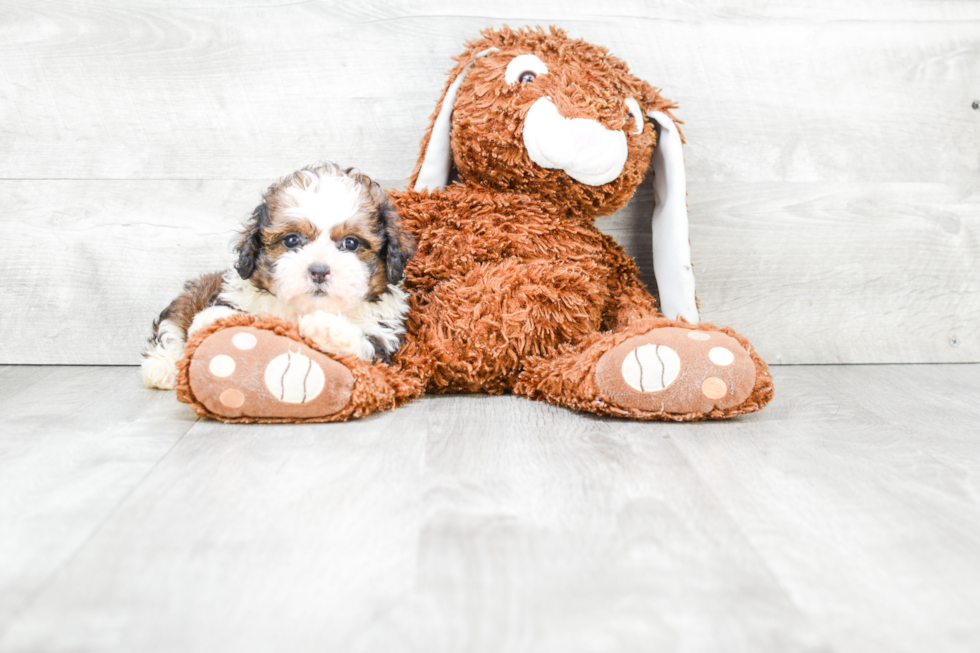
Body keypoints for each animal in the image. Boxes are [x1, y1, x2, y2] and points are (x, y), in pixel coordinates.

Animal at [140, 163, 412, 390]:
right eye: (291, 240)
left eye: (351, 243)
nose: (319, 271)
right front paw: (215, 321)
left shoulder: (384, 334)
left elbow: (364, 342)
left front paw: (328, 328)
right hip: (187, 300)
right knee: (171, 330)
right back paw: (161, 369)